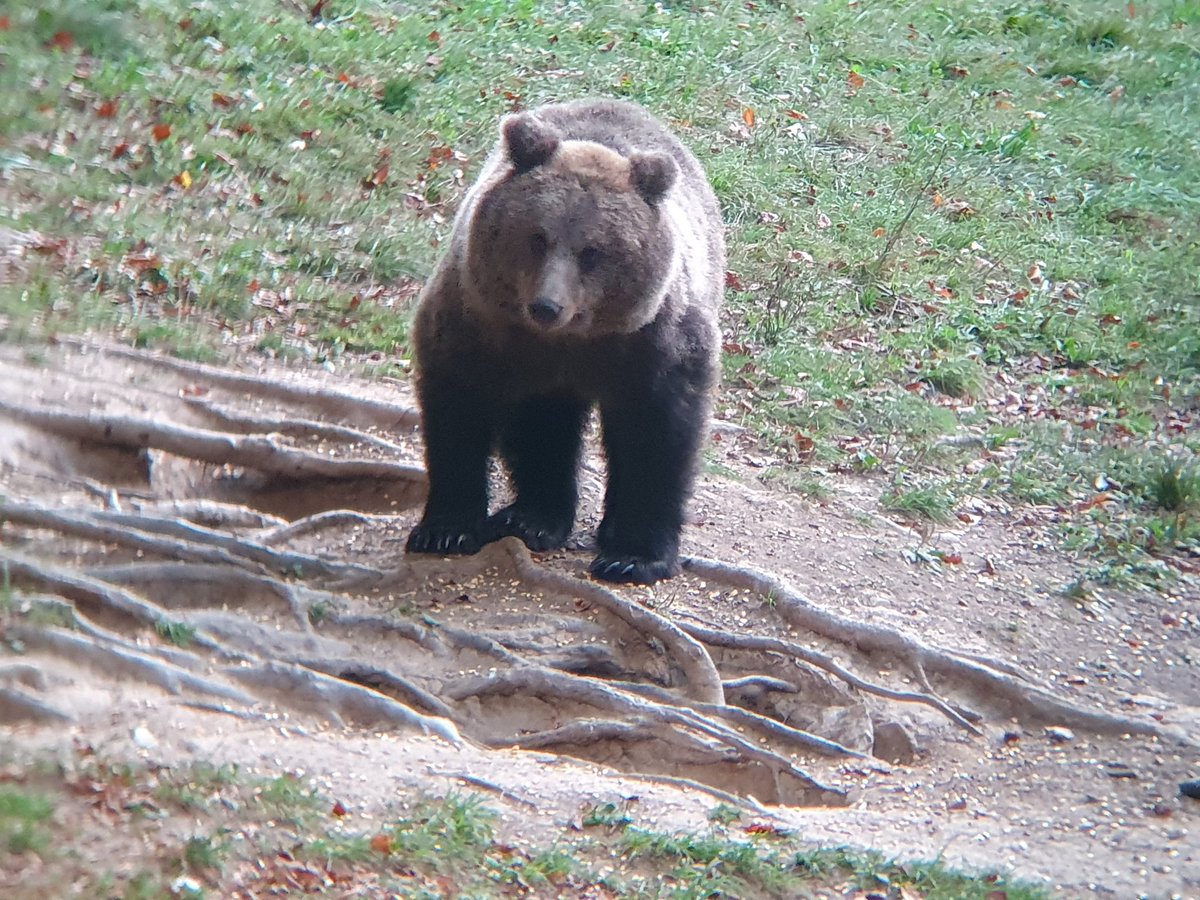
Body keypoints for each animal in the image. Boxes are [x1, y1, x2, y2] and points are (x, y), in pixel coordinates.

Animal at [404, 98, 724, 584]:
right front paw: (446, 529)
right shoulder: (478, 324)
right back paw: (531, 518)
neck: (573, 339)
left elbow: (658, 436)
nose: (547, 306)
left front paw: (632, 556)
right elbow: (458, 409)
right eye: (537, 236)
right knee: (543, 426)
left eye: (593, 251)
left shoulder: (652, 345)